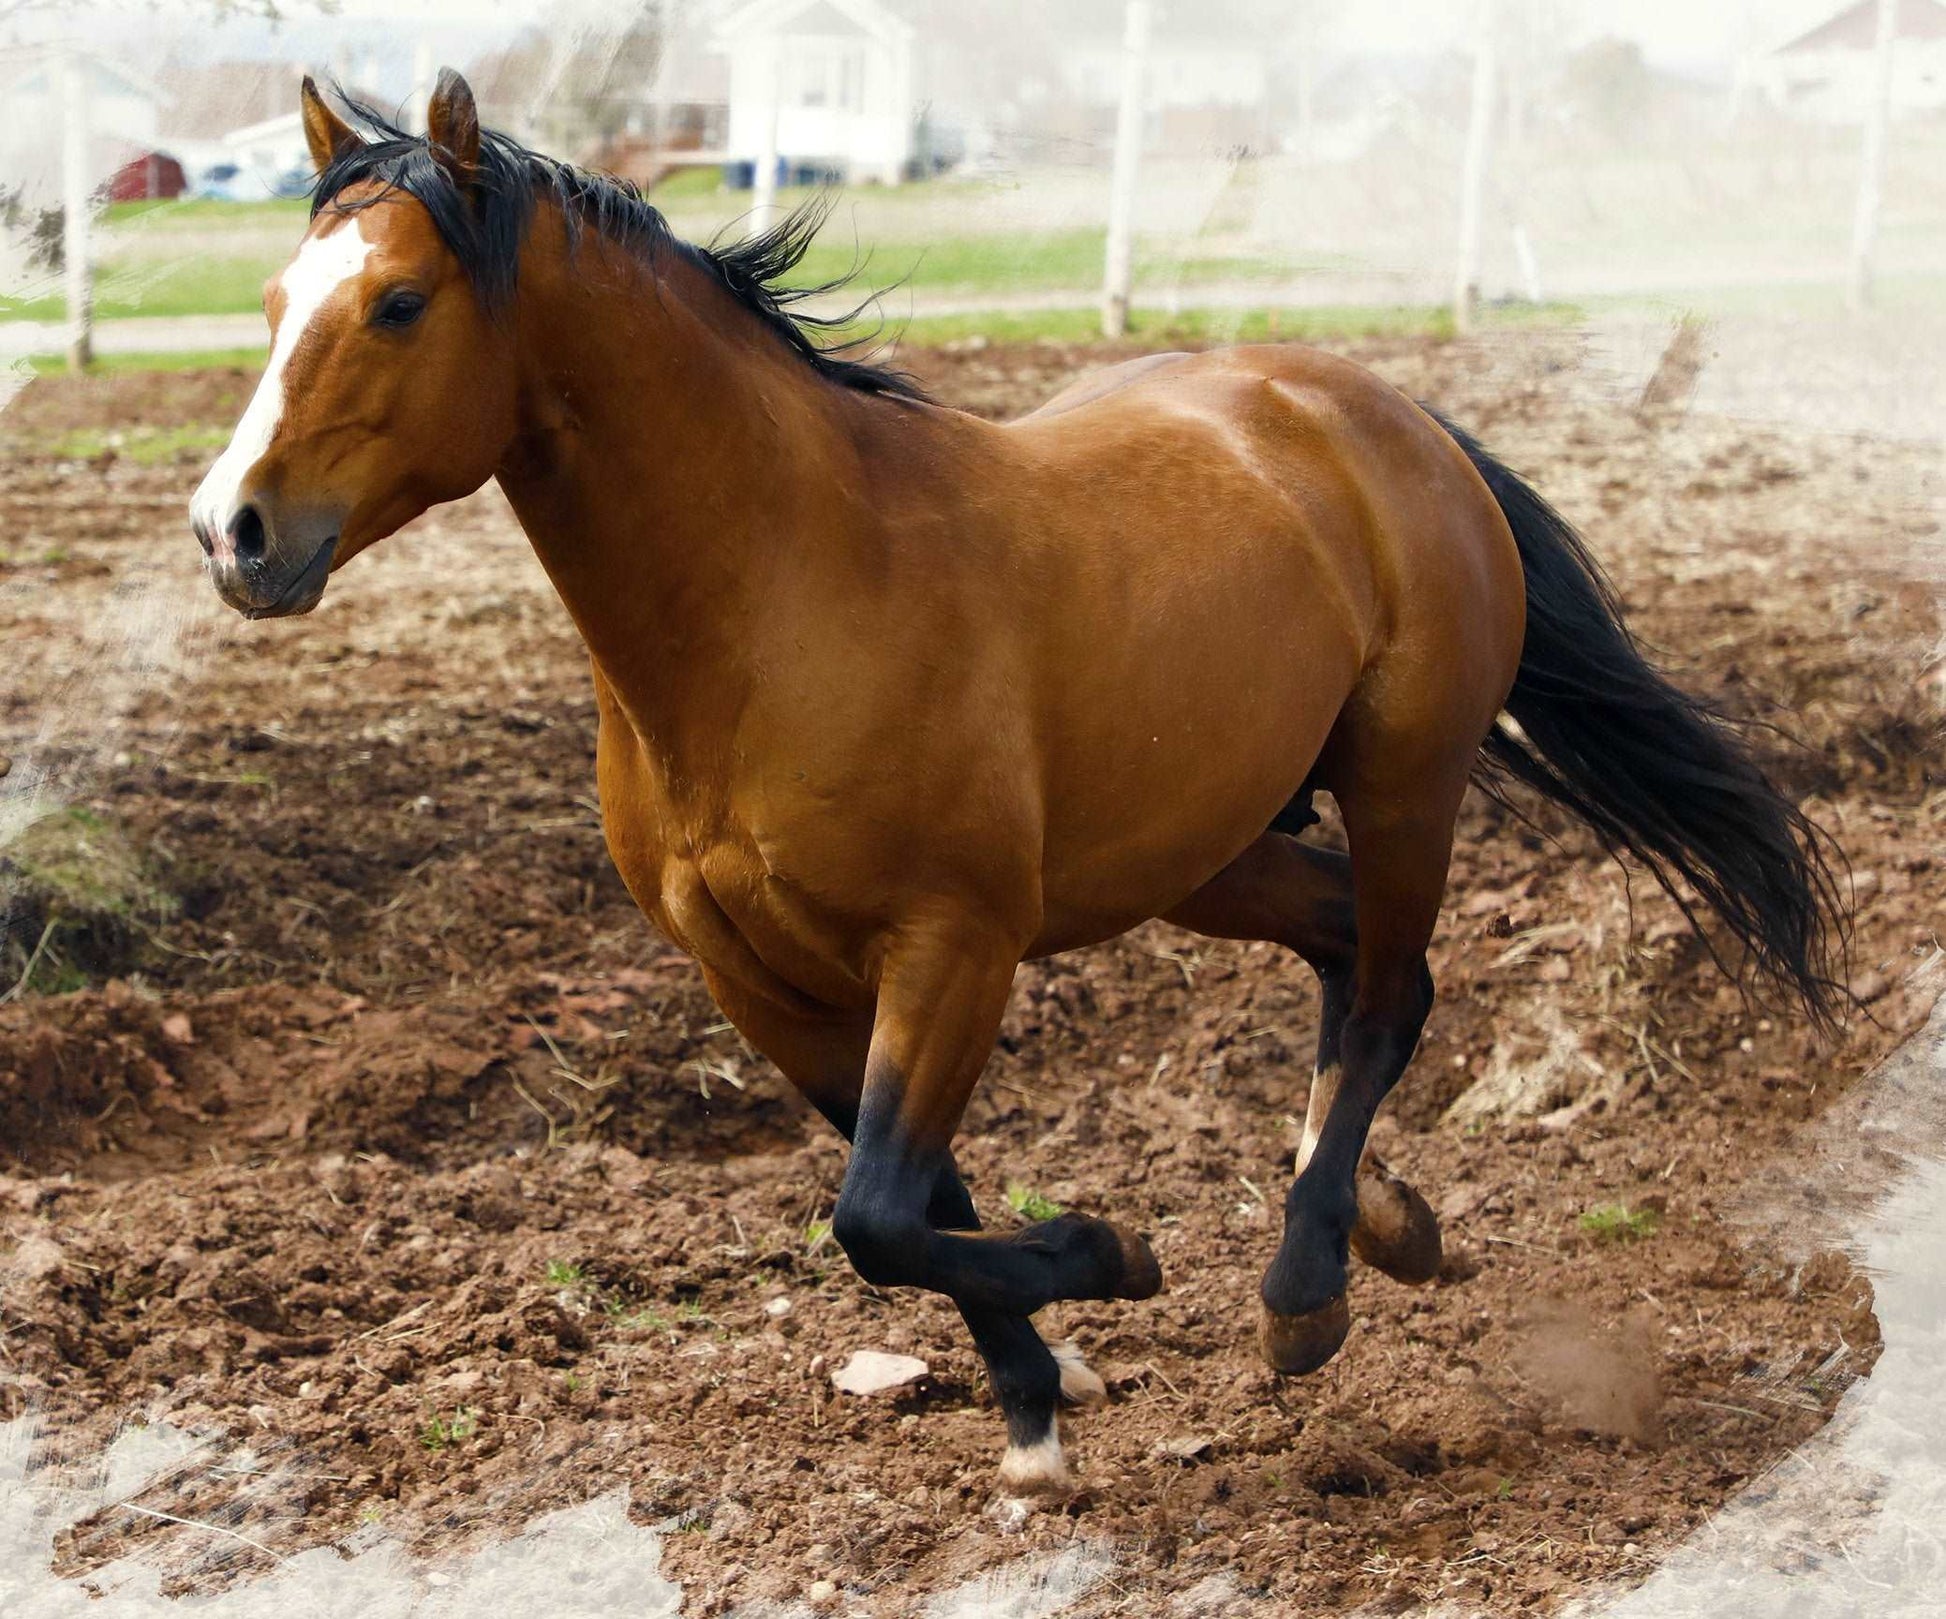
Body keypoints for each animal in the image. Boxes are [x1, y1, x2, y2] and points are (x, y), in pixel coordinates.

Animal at [187, 71, 1844, 1496]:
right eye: (268, 306)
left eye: (399, 303)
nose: (233, 529)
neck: (783, 595)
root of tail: (1381, 414)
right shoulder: (759, 983)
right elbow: (919, 1204)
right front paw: (1041, 1396)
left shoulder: (951, 944)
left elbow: (874, 1213)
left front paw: (1112, 1260)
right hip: (1205, 846)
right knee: (1360, 959)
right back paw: (1385, 1222)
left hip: (1401, 779)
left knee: (1384, 989)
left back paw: (1304, 1284)